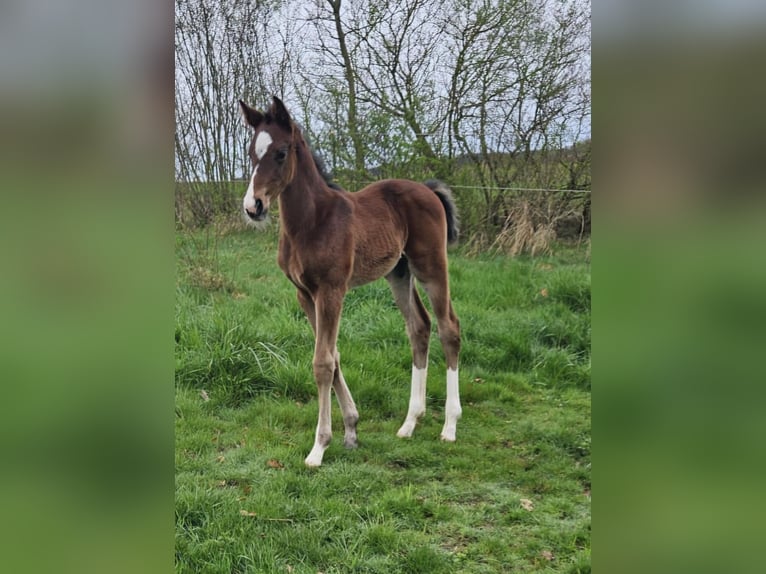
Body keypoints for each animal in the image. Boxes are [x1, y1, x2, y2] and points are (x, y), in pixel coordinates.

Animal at [239, 96, 462, 467]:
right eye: (251, 153)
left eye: (281, 153)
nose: (253, 207)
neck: (312, 221)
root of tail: (428, 189)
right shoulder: (305, 294)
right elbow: (334, 355)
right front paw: (352, 430)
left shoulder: (331, 290)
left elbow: (323, 363)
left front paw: (319, 446)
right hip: (399, 272)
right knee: (419, 327)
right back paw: (410, 422)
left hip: (430, 266)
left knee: (449, 328)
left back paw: (449, 426)